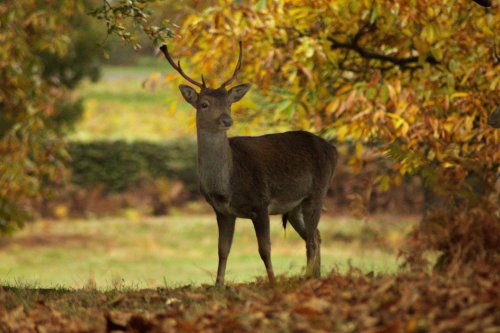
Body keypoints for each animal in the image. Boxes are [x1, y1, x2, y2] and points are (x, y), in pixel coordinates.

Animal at [160, 41, 340, 286]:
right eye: (204, 104)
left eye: (229, 103)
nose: (227, 120)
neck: (227, 184)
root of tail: (333, 150)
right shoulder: (222, 211)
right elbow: (222, 250)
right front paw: (218, 285)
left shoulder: (260, 203)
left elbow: (265, 249)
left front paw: (273, 282)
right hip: (294, 205)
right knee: (317, 236)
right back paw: (315, 276)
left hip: (318, 191)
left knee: (312, 239)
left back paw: (310, 278)